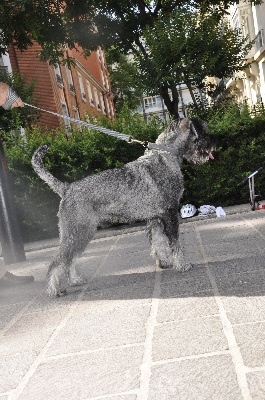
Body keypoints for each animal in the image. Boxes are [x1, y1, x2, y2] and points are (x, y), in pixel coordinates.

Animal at [31, 117, 214, 298]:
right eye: (203, 131)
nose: (214, 143)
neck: (165, 155)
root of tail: (66, 188)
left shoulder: (155, 218)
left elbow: (159, 241)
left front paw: (164, 262)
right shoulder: (170, 214)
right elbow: (174, 243)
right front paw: (182, 265)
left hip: (78, 233)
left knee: (69, 259)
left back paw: (75, 280)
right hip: (78, 231)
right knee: (57, 261)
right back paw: (54, 290)